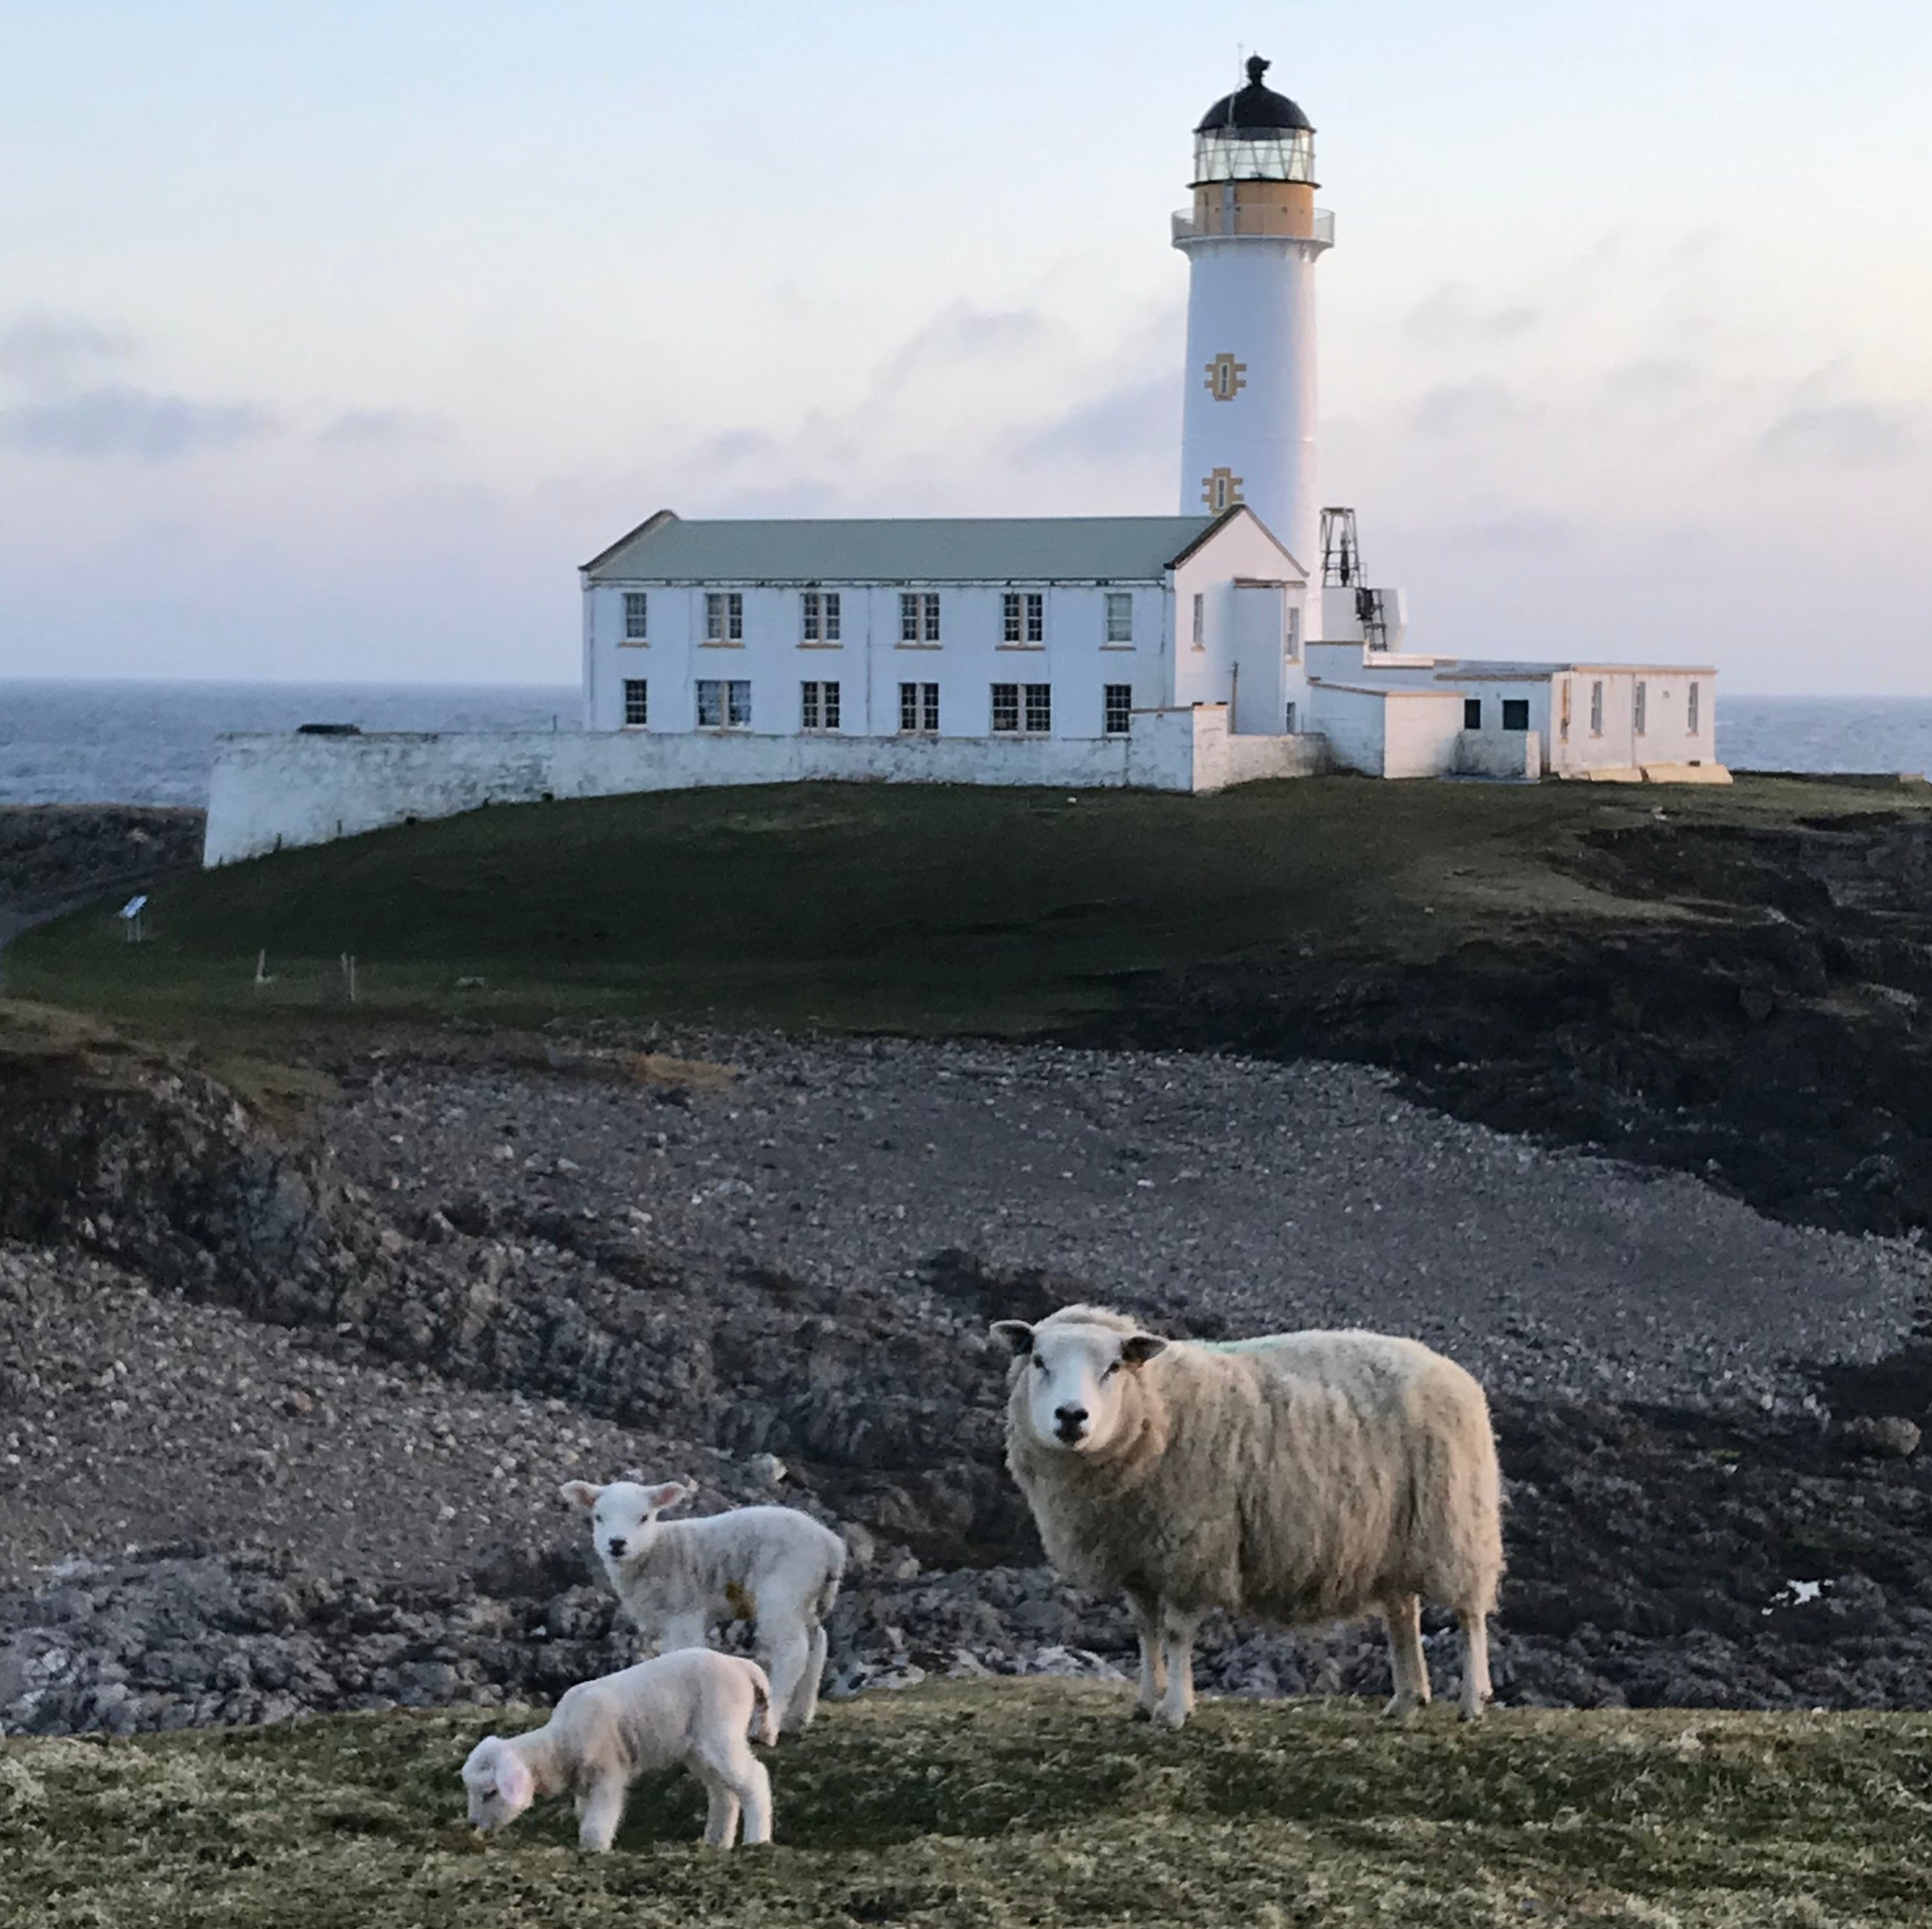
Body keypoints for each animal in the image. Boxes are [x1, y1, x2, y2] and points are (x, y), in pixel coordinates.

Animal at [459, 1646, 777, 1855]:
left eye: (490, 1792)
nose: (473, 1824)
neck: (560, 1744)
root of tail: (742, 1667)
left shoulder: (607, 1773)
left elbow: (598, 1822)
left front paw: (594, 1850)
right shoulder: (585, 1784)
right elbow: (585, 1816)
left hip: (720, 1731)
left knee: (755, 1778)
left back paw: (757, 1841)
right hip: (699, 1748)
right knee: (724, 1793)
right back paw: (716, 1842)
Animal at [564, 1476, 853, 1740]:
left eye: (644, 1517)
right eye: (598, 1517)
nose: (616, 1543)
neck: (656, 1551)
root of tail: (831, 1544)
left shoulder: (685, 1613)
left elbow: (684, 1654)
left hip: (783, 1589)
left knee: (792, 1651)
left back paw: (766, 1727)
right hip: (806, 1595)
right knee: (817, 1641)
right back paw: (799, 1715)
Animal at [997, 1298, 1507, 1740]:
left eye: (1114, 1367)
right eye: (1038, 1361)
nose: (1071, 1417)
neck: (1159, 1407)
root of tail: (1450, 1369)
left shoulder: (1192, 1549)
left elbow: (1176, 1633)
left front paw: (1175, 1710)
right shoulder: (1139, 1558)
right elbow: (1146, 1630)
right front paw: (1146, 1701)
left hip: (1457, 1521)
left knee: (1470, 1615)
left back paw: (1472, 1700)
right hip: (1393, 1541)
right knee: (1404, 1615)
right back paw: (1406, 1699)